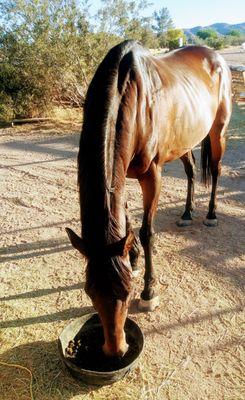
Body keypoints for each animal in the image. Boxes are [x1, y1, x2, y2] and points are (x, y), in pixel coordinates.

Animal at [65, 41, 232, 356]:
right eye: (89, 291)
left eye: (127, 291)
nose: (115, 349)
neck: (132, 99)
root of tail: (215, 56)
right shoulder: (122, 173)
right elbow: (126, 222)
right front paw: (133, 258)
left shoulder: (151, 175)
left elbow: (146, 231)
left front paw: (149, 291)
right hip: (184, 141)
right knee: (192, 170)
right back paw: (187, 213)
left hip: (218, 130)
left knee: (215, 170)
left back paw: (211, 215)